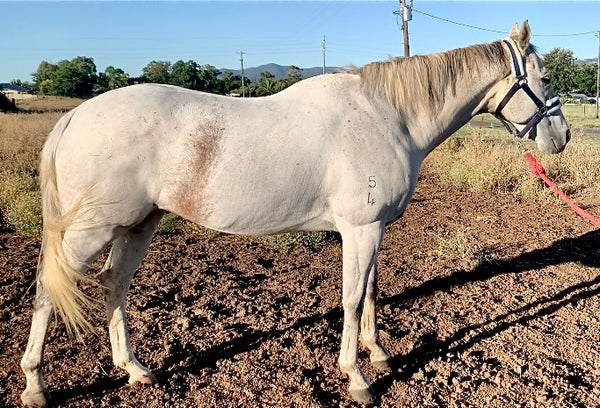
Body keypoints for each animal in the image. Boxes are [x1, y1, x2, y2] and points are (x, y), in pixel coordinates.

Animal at [22, 21, 568, 404]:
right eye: (543, 77)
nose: (561, 137)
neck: (385, 117)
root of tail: (75, 116)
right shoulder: (359, 231)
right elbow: (351, 299)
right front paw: (357, 377)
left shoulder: (374, 230)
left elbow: (371, 291)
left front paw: (379, 355)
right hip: (92, 231)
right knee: (50, 288)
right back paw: (35, 385)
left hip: (137, 225)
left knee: (114, 284)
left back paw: (135, 370)